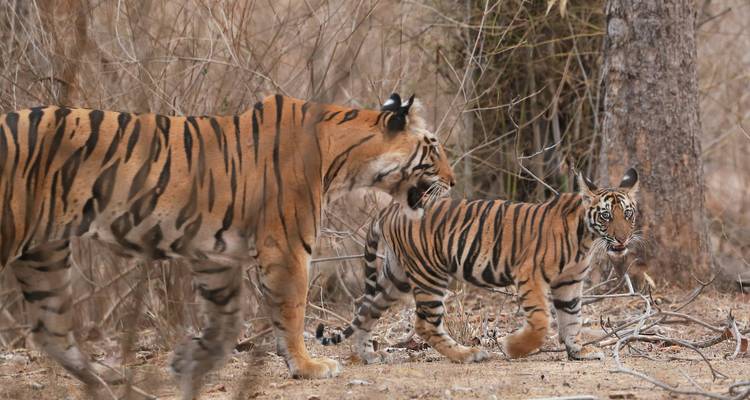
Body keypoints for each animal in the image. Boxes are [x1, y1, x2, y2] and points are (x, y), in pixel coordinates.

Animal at [0, 93, 455, 399]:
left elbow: (226, 320)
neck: (342, 158)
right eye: (433, 149)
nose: (452, 182)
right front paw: (308, 366)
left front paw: (190, 362)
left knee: (51, 332)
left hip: (44, 255)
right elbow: (292, 310)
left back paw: (110, 380)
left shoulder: (213, 254)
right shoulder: (287, 247)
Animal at [317, 168, 640, 364]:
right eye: (607, 216)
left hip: (396, 277)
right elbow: (541, 320)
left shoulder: (569, 283)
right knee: (424, 323)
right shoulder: (530, 276)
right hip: (430, 273)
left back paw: (366, 356)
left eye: (628, 214)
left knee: (367, 307)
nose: (623, 239)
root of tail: (390, 208)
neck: (586, 237)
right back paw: (467, 354)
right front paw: (513, 347)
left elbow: (572, 318)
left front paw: (579, 351)